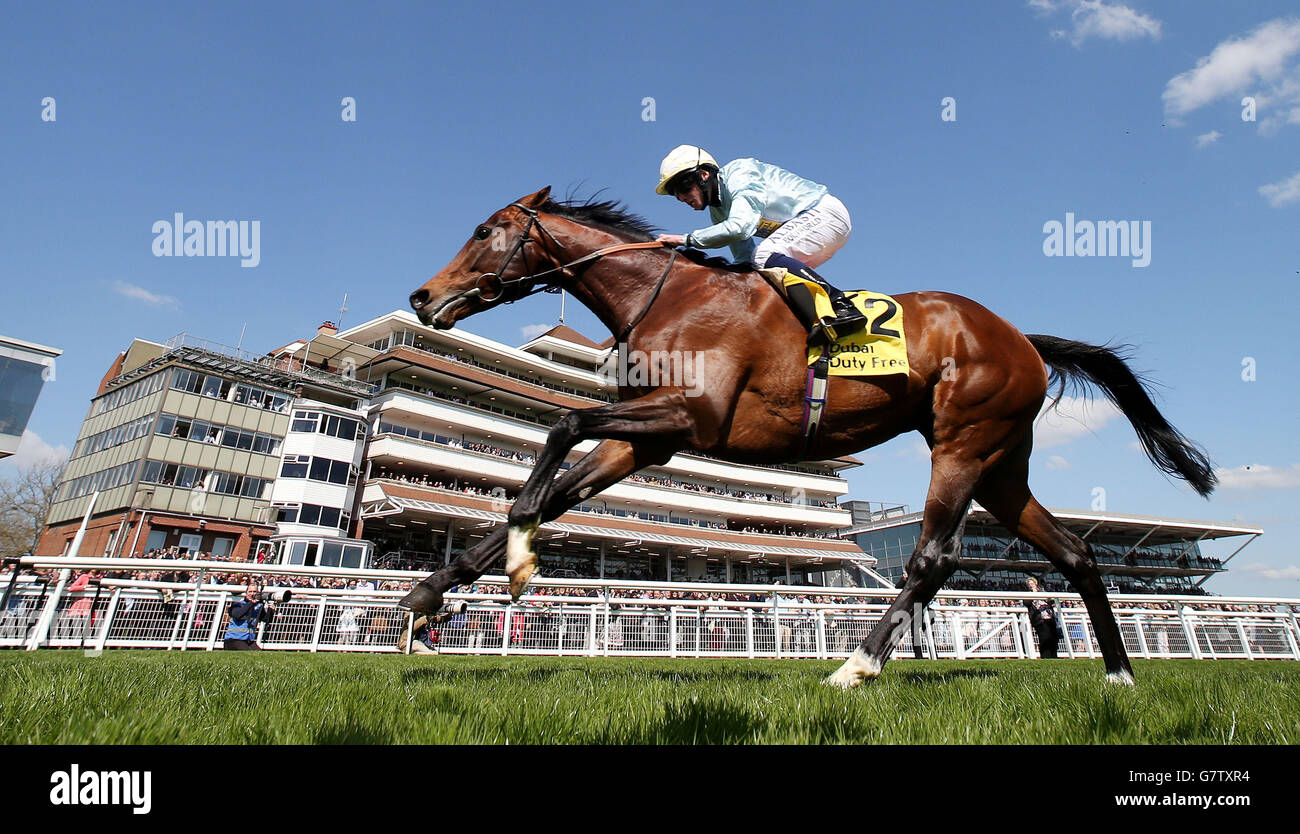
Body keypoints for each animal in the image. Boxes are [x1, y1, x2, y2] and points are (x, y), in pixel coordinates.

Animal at [400, 186, 1216, 687]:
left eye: (484, 231)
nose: (422, 296)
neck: (667, 296)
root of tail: (1022, 339)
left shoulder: (687, 417)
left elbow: (561, 427)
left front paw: (519, 556)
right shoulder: (646, 439)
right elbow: (557, 488)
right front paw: (432, 589)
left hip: (961, 442)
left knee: (935, 556)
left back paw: (856, 666)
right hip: (1000, 464)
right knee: (1076, 552)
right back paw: (1119, 674)